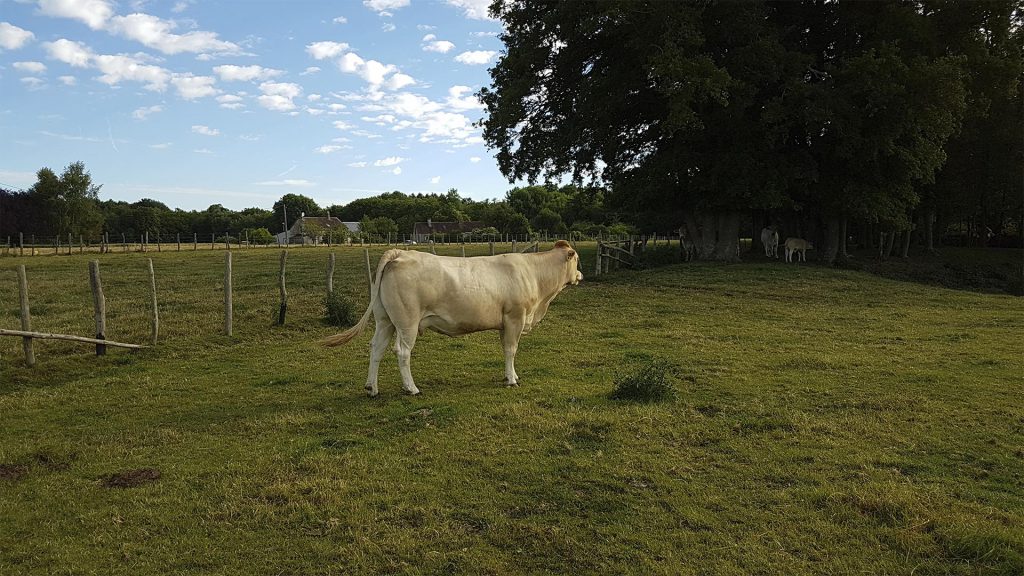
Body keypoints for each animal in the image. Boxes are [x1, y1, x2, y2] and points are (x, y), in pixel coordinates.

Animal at [323, 240, 583, 396]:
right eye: (577, 259)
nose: (580, 274)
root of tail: (400, 253)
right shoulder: (514, 317)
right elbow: (511, 350)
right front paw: (511, 380)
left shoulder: (505, 322)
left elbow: (506, 349)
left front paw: (512, 375)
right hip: (407, 322)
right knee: (402, 351)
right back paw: (411, 388)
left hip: (385, 320)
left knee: (376, 348)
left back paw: (372, 388)